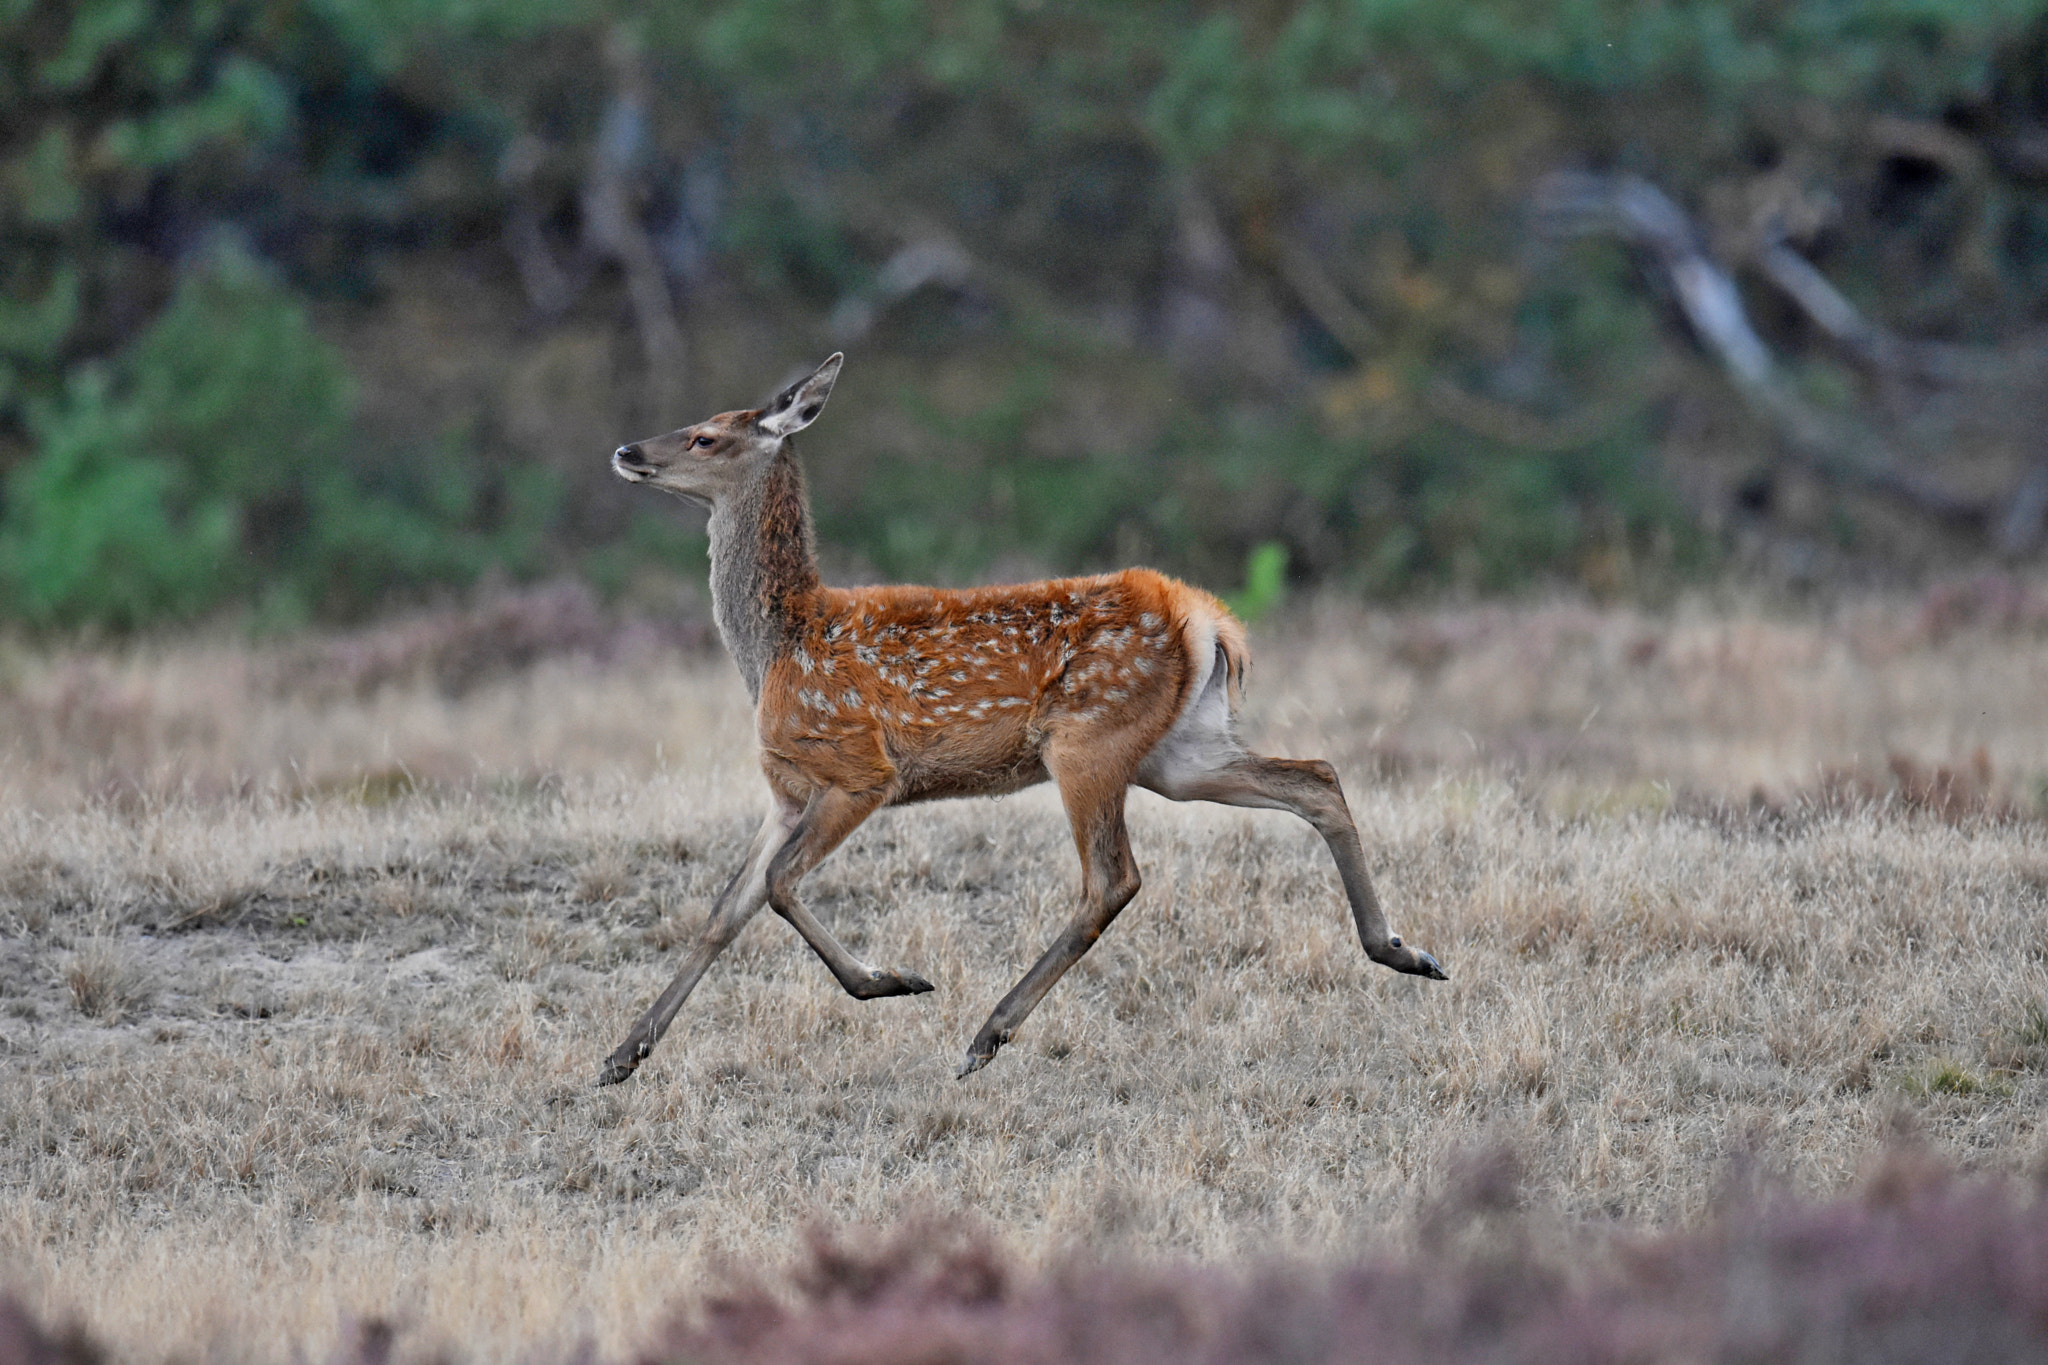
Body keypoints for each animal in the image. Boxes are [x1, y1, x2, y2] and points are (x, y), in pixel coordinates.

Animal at [598, 351, 1449, 1088]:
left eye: (708, 435)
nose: (627, 448)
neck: (780, 641)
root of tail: (1206, 619)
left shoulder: (860, 768)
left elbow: (775, 885)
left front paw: (887, 980)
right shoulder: (786, 789)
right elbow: (723, 910)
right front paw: (622, 1053)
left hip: (1088, 738)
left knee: (1113, 877)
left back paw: (988, 1032)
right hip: (1180, 751)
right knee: (1317, 777)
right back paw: (1404, 950)